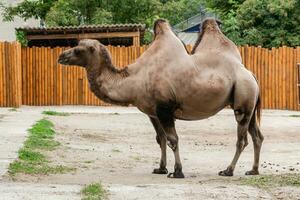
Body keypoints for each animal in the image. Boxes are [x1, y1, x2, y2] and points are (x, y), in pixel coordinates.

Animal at [58, 18, 262, 178]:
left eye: (78, 49)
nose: (61, 56)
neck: (135, 79)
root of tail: (250, 73)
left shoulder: (165, 108)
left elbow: (173, 139)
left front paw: (177, 172)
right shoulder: (153, 112)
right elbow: (161, 139)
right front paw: (161, 168)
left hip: (243, 97)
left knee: (242, 139)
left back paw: (228, 170)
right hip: (248, 104)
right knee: (257, 136)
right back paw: (253, 170)